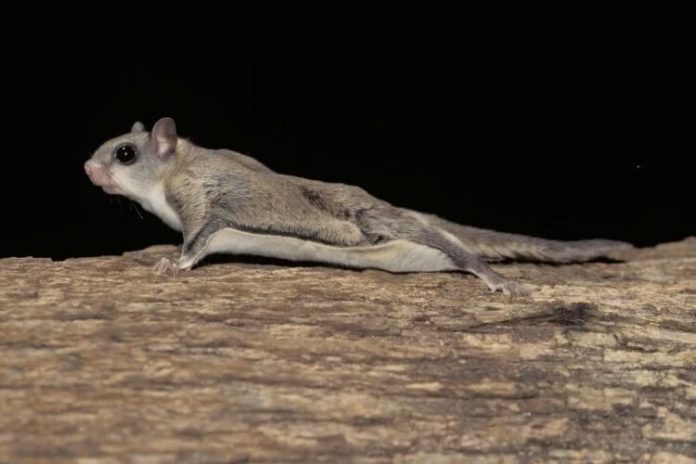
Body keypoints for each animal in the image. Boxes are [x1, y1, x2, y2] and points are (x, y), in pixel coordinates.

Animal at [84, 117, 634, 296]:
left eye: (124, 154)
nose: (87, 168)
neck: (172, 170)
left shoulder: (203, 200)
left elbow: (196, 239)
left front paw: (171, 264)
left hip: (380, 223)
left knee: (462, 253)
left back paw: (495, 277)